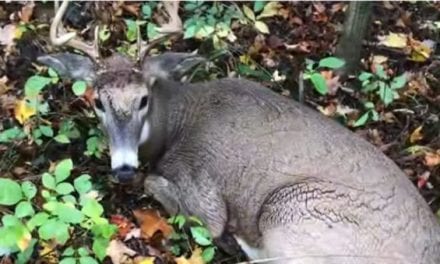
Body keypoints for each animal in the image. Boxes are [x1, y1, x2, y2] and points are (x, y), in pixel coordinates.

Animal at [38, 1, 440, 262]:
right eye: (97, 102)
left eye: (143, 99)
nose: (123, 169)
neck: (177, 126)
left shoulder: (205, 191)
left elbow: (162, 187)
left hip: (290, 211)